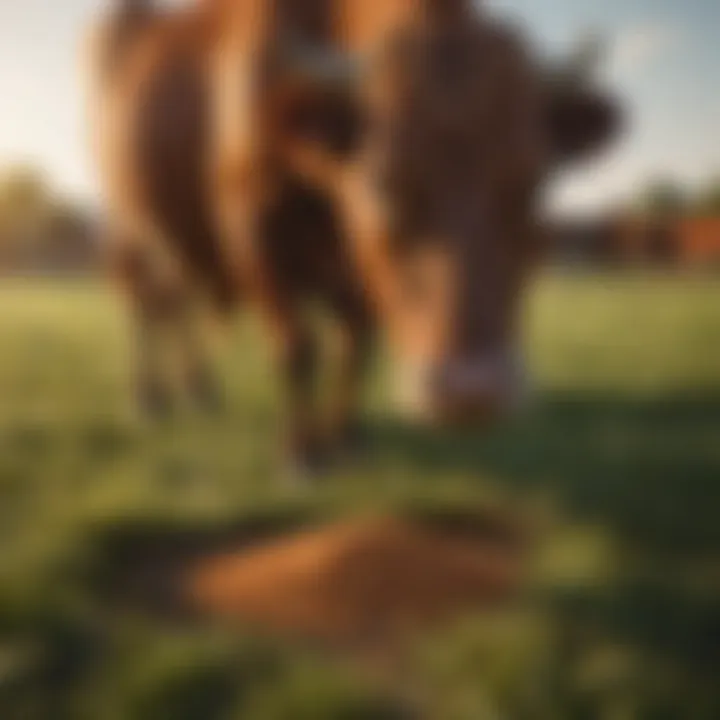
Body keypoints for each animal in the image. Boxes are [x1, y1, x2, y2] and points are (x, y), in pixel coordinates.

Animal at [88, 1, 620, 478]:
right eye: (381, 183)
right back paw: (149, 397)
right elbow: (297, 347)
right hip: (129, 225)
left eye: (534, 180)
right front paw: (302, 452)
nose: (472, 391)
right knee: (145, 303)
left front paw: (347, 438)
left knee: (180, 301)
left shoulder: (357, 277)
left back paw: (199, 389)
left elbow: (356, 345)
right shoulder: (251, 229)